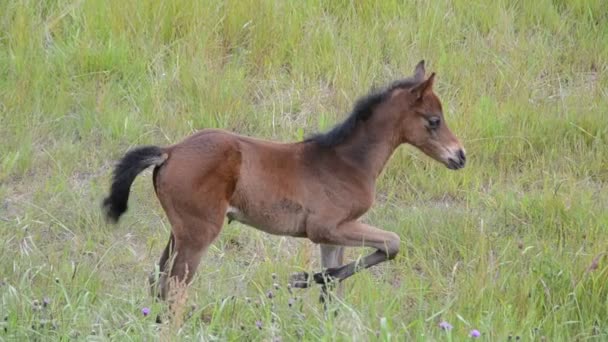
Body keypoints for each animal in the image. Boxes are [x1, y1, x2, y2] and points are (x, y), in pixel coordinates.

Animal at [103, 61, 466, 302]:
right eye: (434, 120)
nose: (460, 156)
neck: (347, 162)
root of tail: (169, 152)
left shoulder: (332, 236)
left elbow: (335, 286)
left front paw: (311, 283)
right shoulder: (326, 227)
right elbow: (392, 243)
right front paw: (302, 278)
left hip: (178, 232)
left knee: (157, 280)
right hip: (198, 234)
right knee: (174, 288)